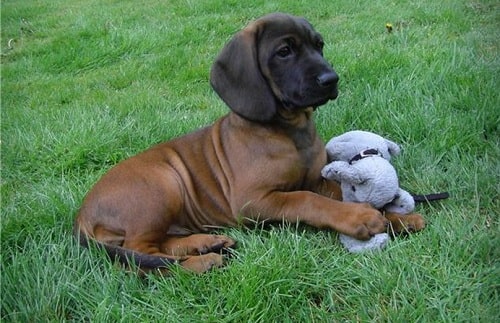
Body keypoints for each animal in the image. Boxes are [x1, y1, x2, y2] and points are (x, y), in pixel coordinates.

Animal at [75, 13, 426, 274]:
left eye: (319, 45)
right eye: (284, 52)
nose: (331, 79)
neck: (290, 131)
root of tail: (82, 215)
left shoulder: (317, 180)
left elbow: (337, 194)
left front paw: (396, 217)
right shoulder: (252, 200)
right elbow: (306, 201)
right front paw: (360, 218)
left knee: (156, 246)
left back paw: (207, 243)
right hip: (162, 183)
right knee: (139, 256)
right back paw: (200, 262)